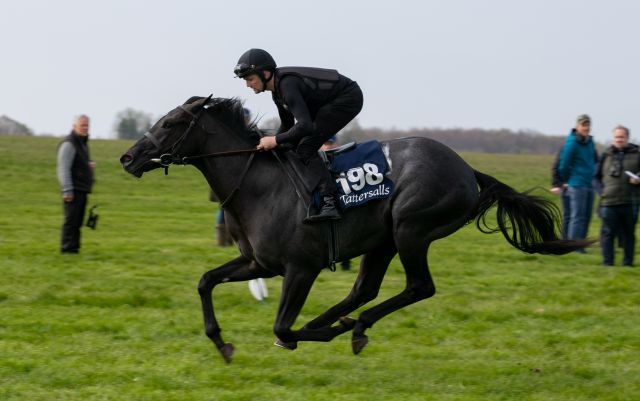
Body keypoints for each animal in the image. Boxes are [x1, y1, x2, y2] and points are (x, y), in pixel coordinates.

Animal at [120, 96, 592, 362]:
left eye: (169, 124)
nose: (128, 157)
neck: (257, 183)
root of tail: (466, 169)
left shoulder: (301, 267)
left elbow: (281, 327)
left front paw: (316, 333)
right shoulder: (258, 263)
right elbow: (205, 281)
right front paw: (221, 343)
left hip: (410, 229)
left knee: (418, 287)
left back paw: (354, 326)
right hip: (381, 241)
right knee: (363, 290)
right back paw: (340, 322)